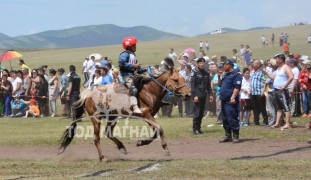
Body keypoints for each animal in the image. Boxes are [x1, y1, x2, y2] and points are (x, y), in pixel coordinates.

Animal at [57, 60, 191, 162]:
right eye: (175, 80)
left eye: (183, 78)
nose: (188, 95)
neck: (150, 90)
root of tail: (88, 95)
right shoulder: (146, 114)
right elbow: (160, 128)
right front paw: (166, 149)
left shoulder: (150, 116)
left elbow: (156, 132)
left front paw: (141, 142)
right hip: (96, 118)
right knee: (96, 138)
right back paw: (103, 157)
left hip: (112, 117)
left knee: (108, 133)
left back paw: (121, 147)